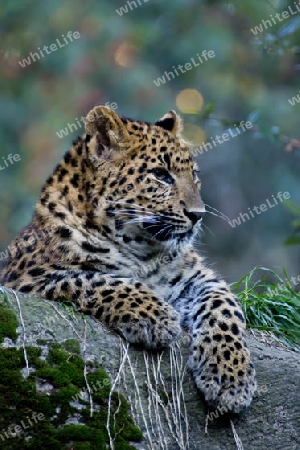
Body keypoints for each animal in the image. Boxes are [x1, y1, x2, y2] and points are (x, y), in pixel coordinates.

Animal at [1, 104, 256, 412]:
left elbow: (225, 309)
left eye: (194, 175)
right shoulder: (27, 277)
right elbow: (98, 281)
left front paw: (230, 377)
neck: (144, 250)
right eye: (160, 174)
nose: (198, 215)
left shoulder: (198, 279)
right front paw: (155, 316)